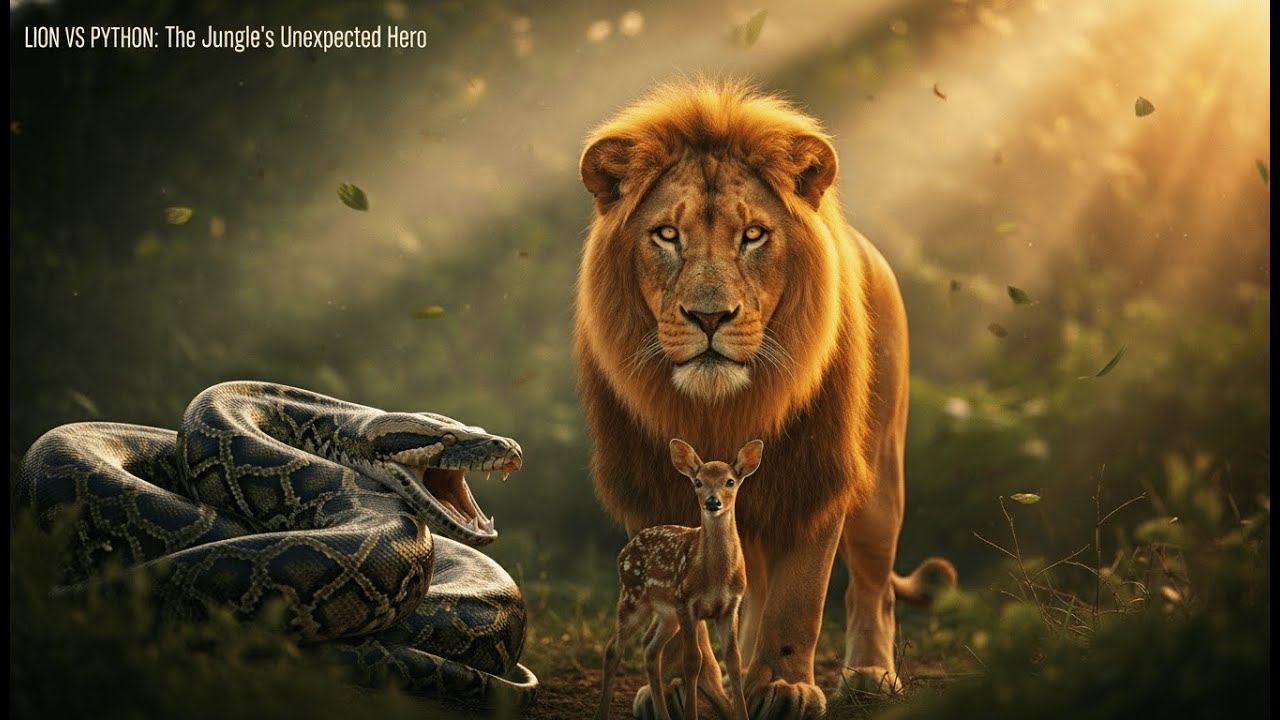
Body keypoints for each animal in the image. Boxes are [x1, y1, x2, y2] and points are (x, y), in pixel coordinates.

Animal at [574, 79, 956, 719]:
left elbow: (799, 596)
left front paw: (783, 687)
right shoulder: (648, 485)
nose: (709, 317)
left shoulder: (813, 473)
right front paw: (684, 689)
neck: (721, 410)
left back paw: (870, 675)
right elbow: (687, 615)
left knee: (873, 587)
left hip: (881, 480)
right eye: (667, 235)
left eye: (752, 235)